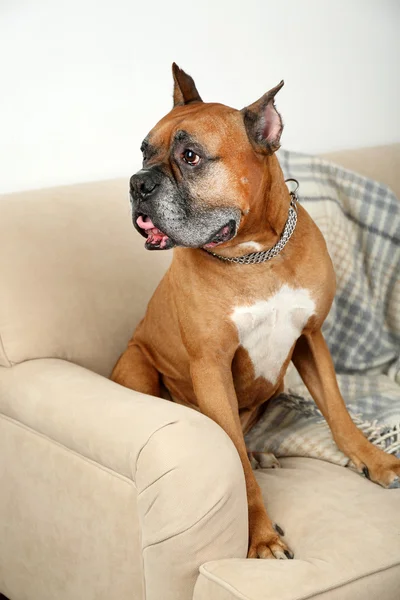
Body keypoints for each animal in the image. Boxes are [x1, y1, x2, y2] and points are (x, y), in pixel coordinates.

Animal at [111, 63, 400, 560]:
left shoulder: (311, 339)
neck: (256, 254)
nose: (137, 182)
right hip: (139, 368)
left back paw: (262, 453)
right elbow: (237, 470)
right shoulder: (211, 367)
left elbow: (338, 412)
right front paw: (261, 536)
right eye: (144, 151)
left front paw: (375, 461)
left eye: (190, 156)